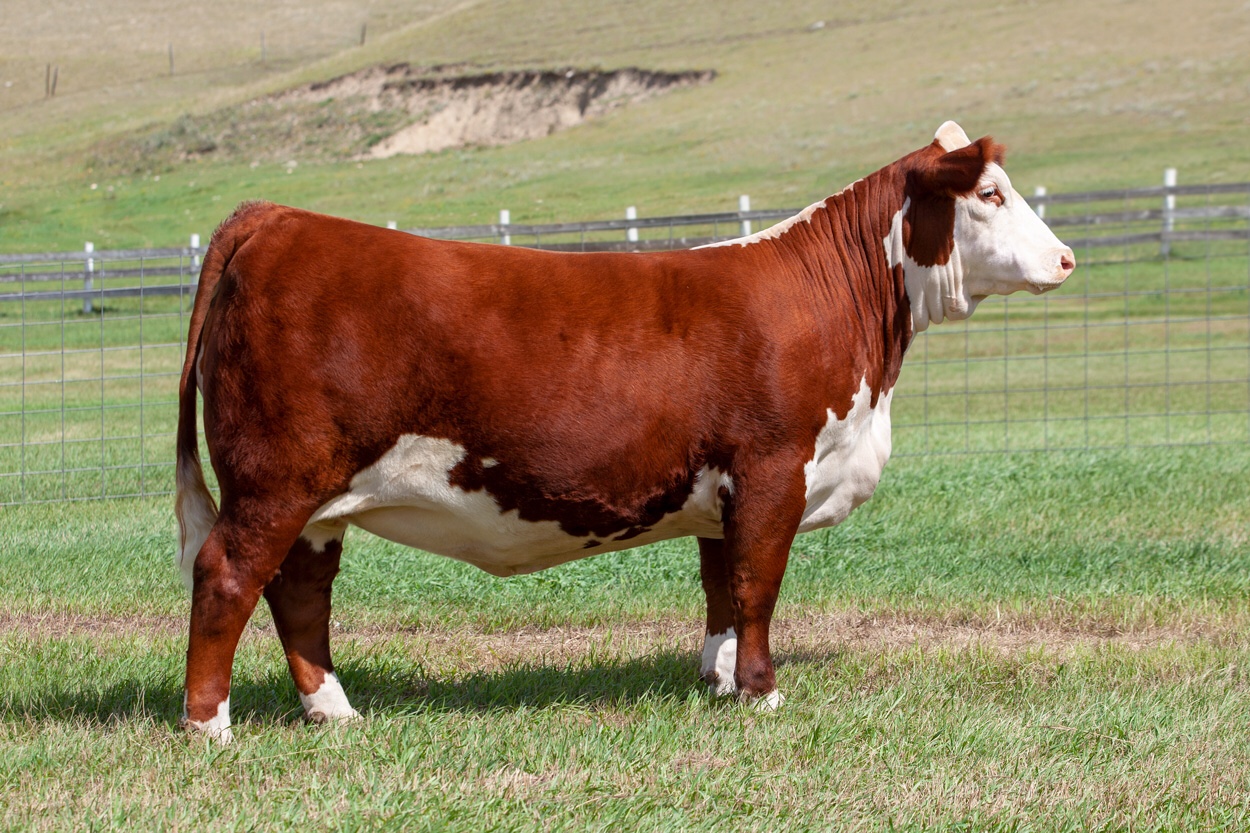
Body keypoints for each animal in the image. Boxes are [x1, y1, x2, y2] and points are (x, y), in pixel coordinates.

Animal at [175, 121, 1074, 741]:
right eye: (991, 195)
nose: (1066, 258)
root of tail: (277, 217)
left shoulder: (723, 487)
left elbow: (720, 586)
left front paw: (719, 679)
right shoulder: (773, 466)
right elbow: (757, 585)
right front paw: (762, 690)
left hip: (316, 500)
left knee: (300, 592)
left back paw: (333, 709)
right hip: (275, 480)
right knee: (227, 574)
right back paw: (209, 722)